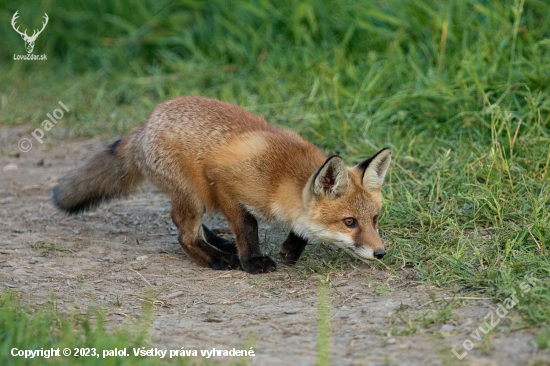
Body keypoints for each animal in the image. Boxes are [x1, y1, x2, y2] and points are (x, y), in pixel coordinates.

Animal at [50, 96, 392, 274]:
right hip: (194, 194)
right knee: (184, 234)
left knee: (181, 223)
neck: (281, 178)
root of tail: (146, 123)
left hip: (194, 197)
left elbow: (300, 226)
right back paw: (218, 258)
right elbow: (248, 226)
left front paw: (291, 249)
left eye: (374, 219)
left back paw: (222, 244)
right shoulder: (226, 183)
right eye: (349, 222)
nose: (380, 253)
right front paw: (253, 261)